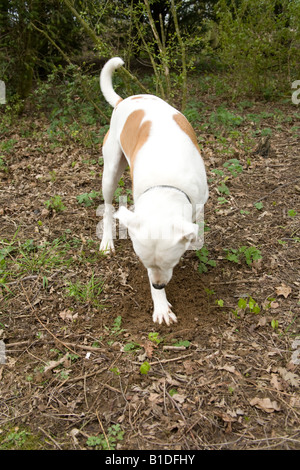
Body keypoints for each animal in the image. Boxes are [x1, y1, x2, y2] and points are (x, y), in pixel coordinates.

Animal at [99, 57, 207, 324]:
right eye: (144, 262)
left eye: (173, 261)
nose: (158, 286)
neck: (165, 185)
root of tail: (123, 101)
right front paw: (160, 306)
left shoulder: (198, 203)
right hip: (110, 171)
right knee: (106, 207)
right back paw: (106, 241)